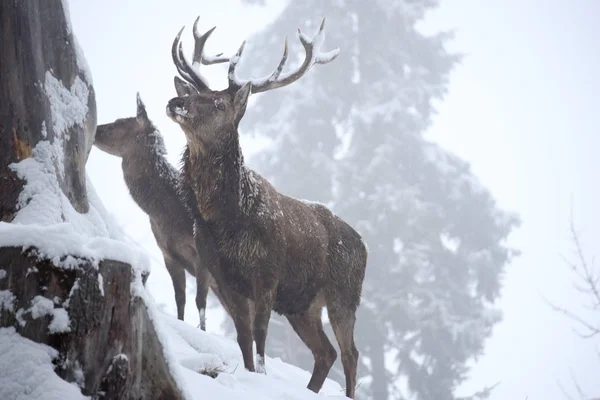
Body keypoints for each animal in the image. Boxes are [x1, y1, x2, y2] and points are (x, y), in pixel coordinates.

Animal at [92, 95, 231, 330]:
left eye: (119, 123)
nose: (95, 129)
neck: (167, 216)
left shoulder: (203, 255)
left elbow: (199, 301)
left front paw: (201, 332)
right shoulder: (167, 253)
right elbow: (180, 299)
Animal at [166, 17, 368, 398]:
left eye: (219, 104)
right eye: (194, 94)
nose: (175, 102)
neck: (226, 221)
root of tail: (364, 245)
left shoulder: (268, 272)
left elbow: (259, 335)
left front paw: (259, 375)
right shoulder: (221, 274)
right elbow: (244, 338)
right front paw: (250, 374)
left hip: (344, 293)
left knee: (350, 353)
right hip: (302, 304)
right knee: (326, 352)